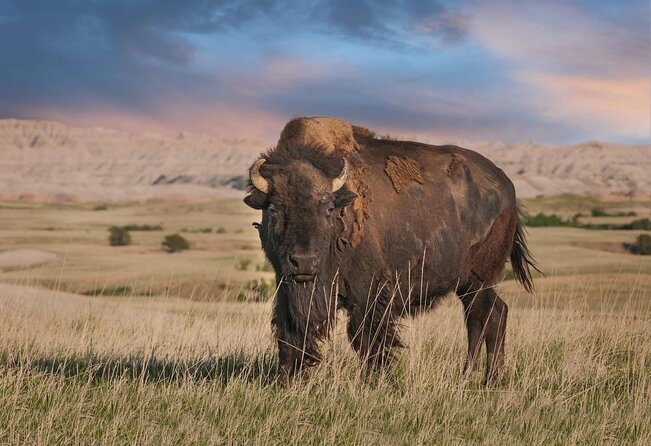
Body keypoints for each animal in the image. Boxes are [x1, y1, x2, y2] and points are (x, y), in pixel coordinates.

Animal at [244, 116, 540, 384]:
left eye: (328, 208)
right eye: (273, 209)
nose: (304, 262)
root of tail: (508, 189)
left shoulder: (369, 292)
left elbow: (367, 338)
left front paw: (375, 381)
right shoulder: (286, 288)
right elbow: (289, 332)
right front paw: (286, 380)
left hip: (479, 281)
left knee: (489, 317)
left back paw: (491, 379)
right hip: (468, 285)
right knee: (484, 317)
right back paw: (471, 376)